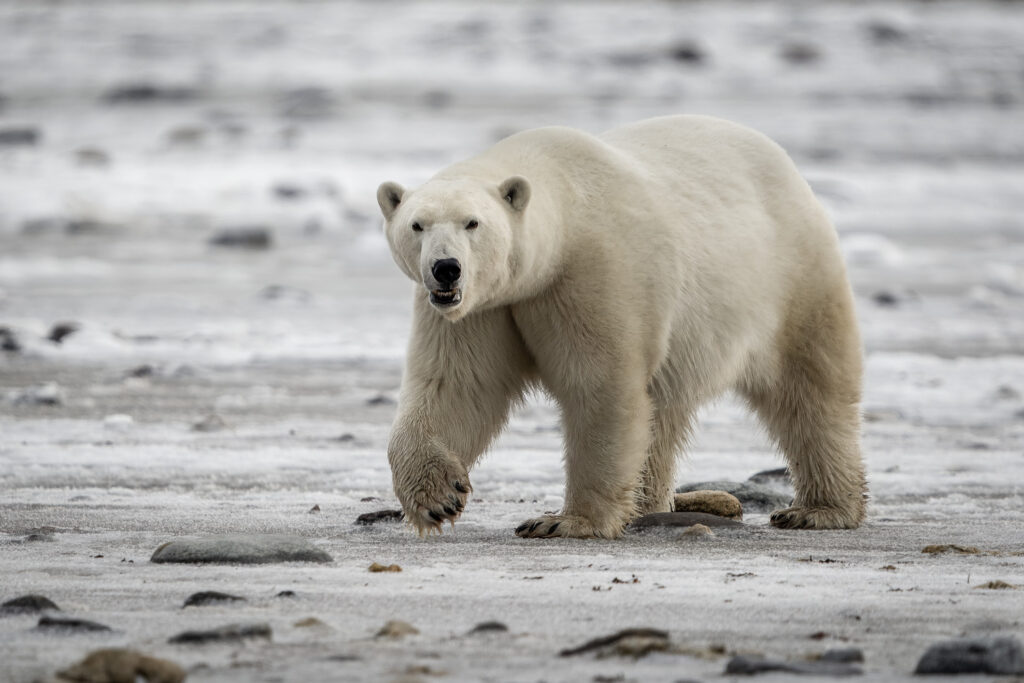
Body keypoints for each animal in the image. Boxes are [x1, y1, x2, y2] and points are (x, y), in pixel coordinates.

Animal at [376, 115, 867, 539]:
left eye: (472, 223)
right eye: (417, 225)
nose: (446, 269)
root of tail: (787, 167)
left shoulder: (594, 272)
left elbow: (600, 386)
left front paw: (566, 521)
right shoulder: (487, 307)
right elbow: (458, 385)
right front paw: (437, 497)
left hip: (791, 277)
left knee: (810, 389)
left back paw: (820, 509)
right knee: (664, 414)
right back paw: (650, 504)